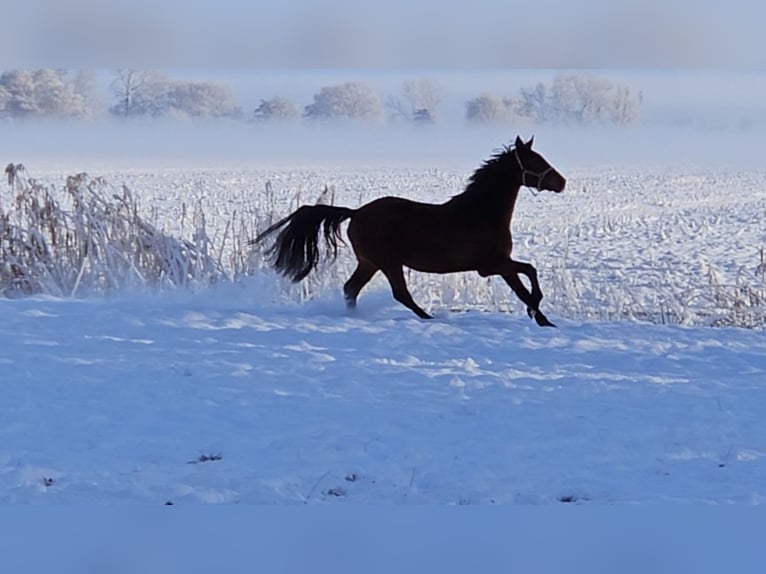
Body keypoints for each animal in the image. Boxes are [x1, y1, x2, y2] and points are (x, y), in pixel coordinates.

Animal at [254, 135, 566, 326]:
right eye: (536, 161)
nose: (561, 182)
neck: (482, 214)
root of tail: (356, 212)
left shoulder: (499, 265)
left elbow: (525, 280)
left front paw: (542, 318)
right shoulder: (491, 265)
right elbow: (528, 276)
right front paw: (538, 313)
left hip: (369, 263)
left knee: (351, 288)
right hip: (388, 262)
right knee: (399, 293)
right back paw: (428, 318)